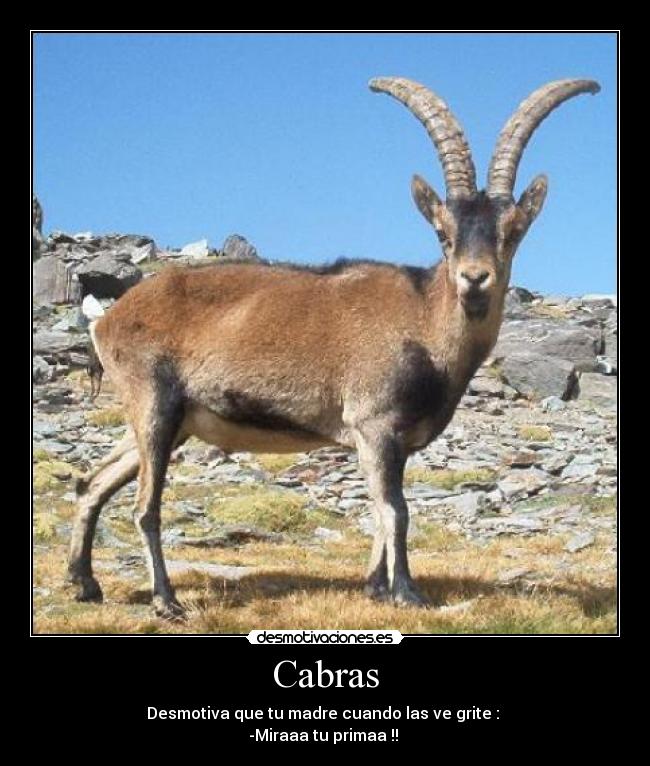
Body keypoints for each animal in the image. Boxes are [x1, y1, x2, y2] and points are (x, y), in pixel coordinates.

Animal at [67, 77, 600, 617]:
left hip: (167, 422)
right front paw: (407, 592)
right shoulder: (374, 424)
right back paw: (165, 600)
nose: (475, 279)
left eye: (512, 232)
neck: (424, 321)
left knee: (93, 481)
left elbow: (382, 509)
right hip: (154, 403)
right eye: (443, 234)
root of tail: (109, 319)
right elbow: (397, 511)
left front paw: (376, 587)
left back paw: (84, 582)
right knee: (145, 506)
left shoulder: (391, 441)